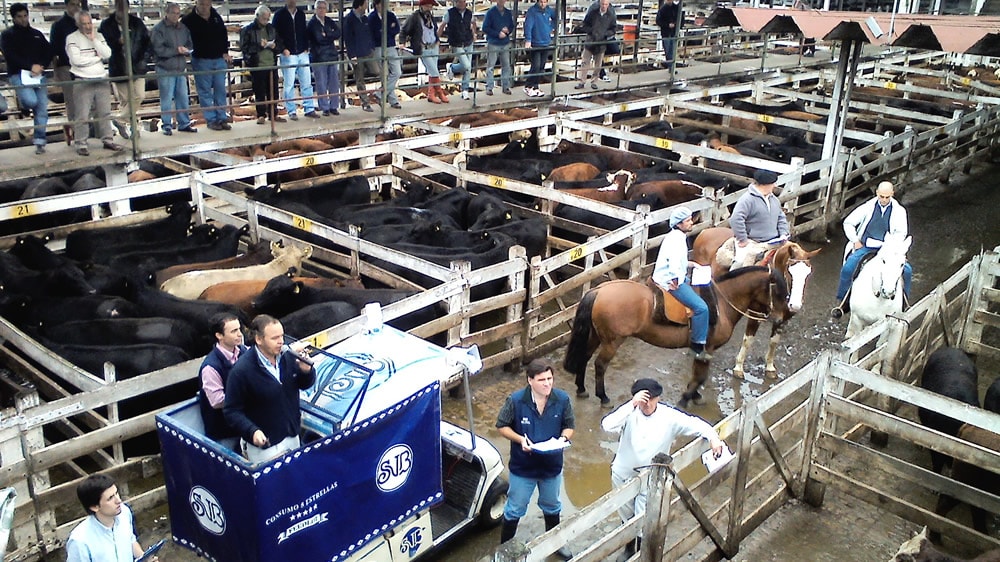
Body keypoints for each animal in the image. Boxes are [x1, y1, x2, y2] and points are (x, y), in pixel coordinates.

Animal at [564, 264, 788, 404]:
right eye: (778, 292)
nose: (780, 319)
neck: (721, 303)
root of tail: (599, 290)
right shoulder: (707, 348)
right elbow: (700, 376)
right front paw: (686, 398)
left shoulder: (702, 350)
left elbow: (698, 375)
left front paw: (694, 395)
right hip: (612, 341)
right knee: (600, 365)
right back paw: (603, 397)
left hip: (595, 336)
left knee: (584, 357)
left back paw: (582, 389)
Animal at [688, 225, 820, 378]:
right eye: (790, 272)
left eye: (808, 274)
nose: (795, 305)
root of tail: (706, 231)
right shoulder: (756, 314)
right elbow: (748, 340)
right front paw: (738, 367)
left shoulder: (783, 318)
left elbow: (774, 341)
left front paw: (770, 367)